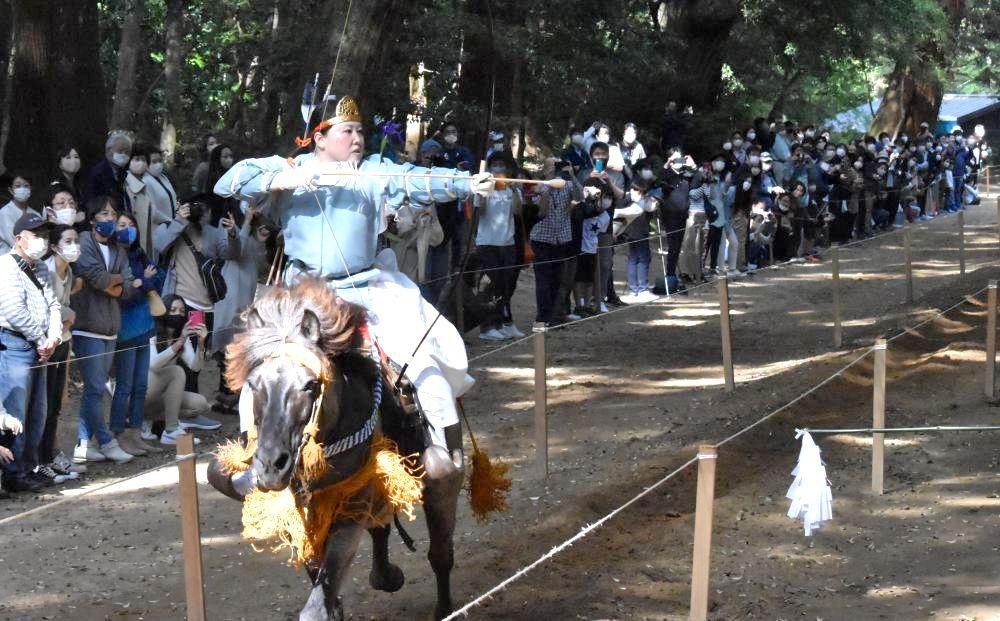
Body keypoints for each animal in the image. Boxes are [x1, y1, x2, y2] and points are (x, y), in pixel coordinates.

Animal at [209, 278, 466, 616]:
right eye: (253, 384)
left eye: (309, 385)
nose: (270, 466)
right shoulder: (303, 514)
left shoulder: (351, 507)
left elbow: (318, 603)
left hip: (438, 474)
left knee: (440, 548)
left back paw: (443, 605)